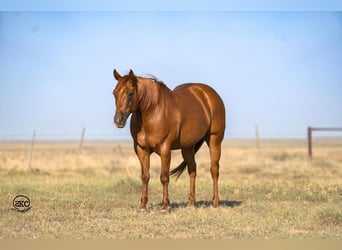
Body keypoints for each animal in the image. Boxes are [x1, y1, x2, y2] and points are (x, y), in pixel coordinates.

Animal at [113, 69, 226, 211]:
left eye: (130, 93)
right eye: (114, 93)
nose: (118, 120)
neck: (153, 110)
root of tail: (209, 94)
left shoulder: (165, 149)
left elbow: (164, 177)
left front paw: (165, 206)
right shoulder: (141, 150)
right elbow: (145, 176)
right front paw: (143, 206)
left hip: (214, 141)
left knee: (214, 170)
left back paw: (215, 203)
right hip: (187, 147)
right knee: (192, 170)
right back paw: (190, 203)